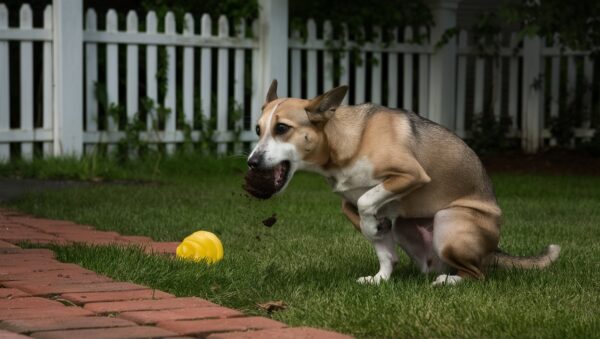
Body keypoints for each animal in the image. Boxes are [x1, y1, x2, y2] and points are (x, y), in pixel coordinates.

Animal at [246, 81, 560, 286]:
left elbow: (367, 200)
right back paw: (380, 279)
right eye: (258, 130)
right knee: (396, 256)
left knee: (478, 275)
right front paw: (374, 230)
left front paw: (371, 223)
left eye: (282, 128)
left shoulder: (411, 175)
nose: (251, 162)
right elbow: (364, 218)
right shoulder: (348, 200)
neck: (344, 144)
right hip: (408, 229)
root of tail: (493, 249)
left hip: (449, 221)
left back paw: (448, 281)